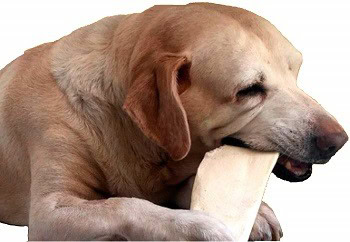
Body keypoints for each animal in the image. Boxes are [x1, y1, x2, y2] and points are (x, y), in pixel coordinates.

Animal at [0, 2, 346, 240]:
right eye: (249, 90)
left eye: (294, 72)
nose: (338, 141)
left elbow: (190, 185)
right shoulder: (49, 212)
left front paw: (258, 214)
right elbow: (126, 205)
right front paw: (196, 226)